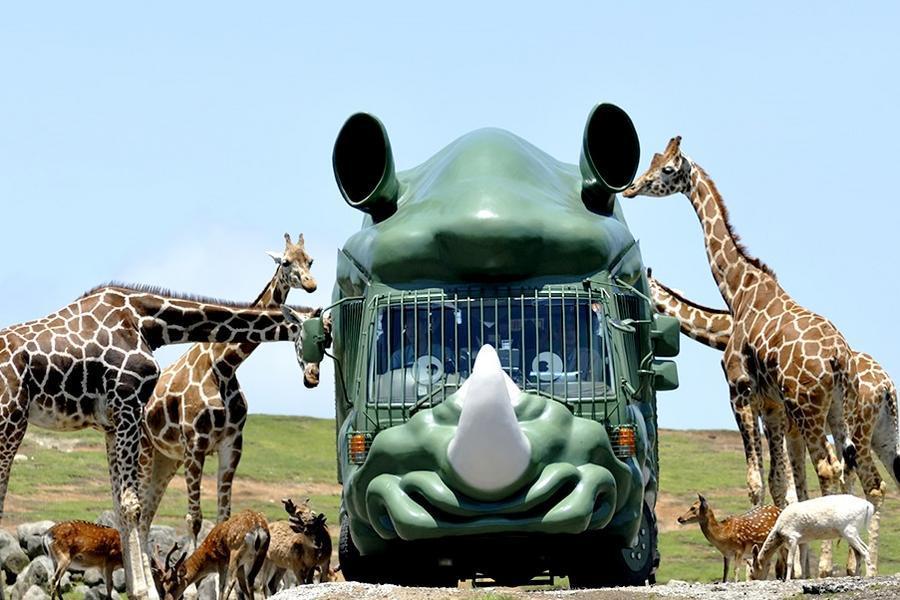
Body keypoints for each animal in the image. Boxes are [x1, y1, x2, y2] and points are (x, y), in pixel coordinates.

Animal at [0, 284, 316, 596]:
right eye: (316, 333)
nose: (312, 378)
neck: (148, 321)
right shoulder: (129, 407)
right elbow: (133, 506)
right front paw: (145, 591)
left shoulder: (112, 423)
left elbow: (121, 506)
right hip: (13, 418)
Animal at [141, 232, 320, 540]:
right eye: (285, 261)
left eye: (309, 260)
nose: (311, 284)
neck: (223, 366)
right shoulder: (195, 445)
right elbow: (194, 519)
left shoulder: (231, 444)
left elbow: (223, 516)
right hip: (142, 448)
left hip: (166, 456)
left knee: (146, 515)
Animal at [624, 137, 856, 524]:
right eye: (651, 162)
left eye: (667, 169)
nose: (630, 187)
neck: (738, 291)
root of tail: (838, 357)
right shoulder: (772, 407)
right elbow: (779, 482)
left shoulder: (740, 391)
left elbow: (757, 482)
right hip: (837, 408)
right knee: (847, 467)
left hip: (806, 407)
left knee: (828, 467)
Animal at [644, 270, 896, 572]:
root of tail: (886, 385)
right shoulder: (791, 429)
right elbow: (797, 491)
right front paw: (798, 568)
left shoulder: (775, 419)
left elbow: (783, 488)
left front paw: (787, 567)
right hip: (881, 436)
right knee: (877, 481)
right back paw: (858, 565)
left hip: (857, 430)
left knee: (867, 482)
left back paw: (856, 567)